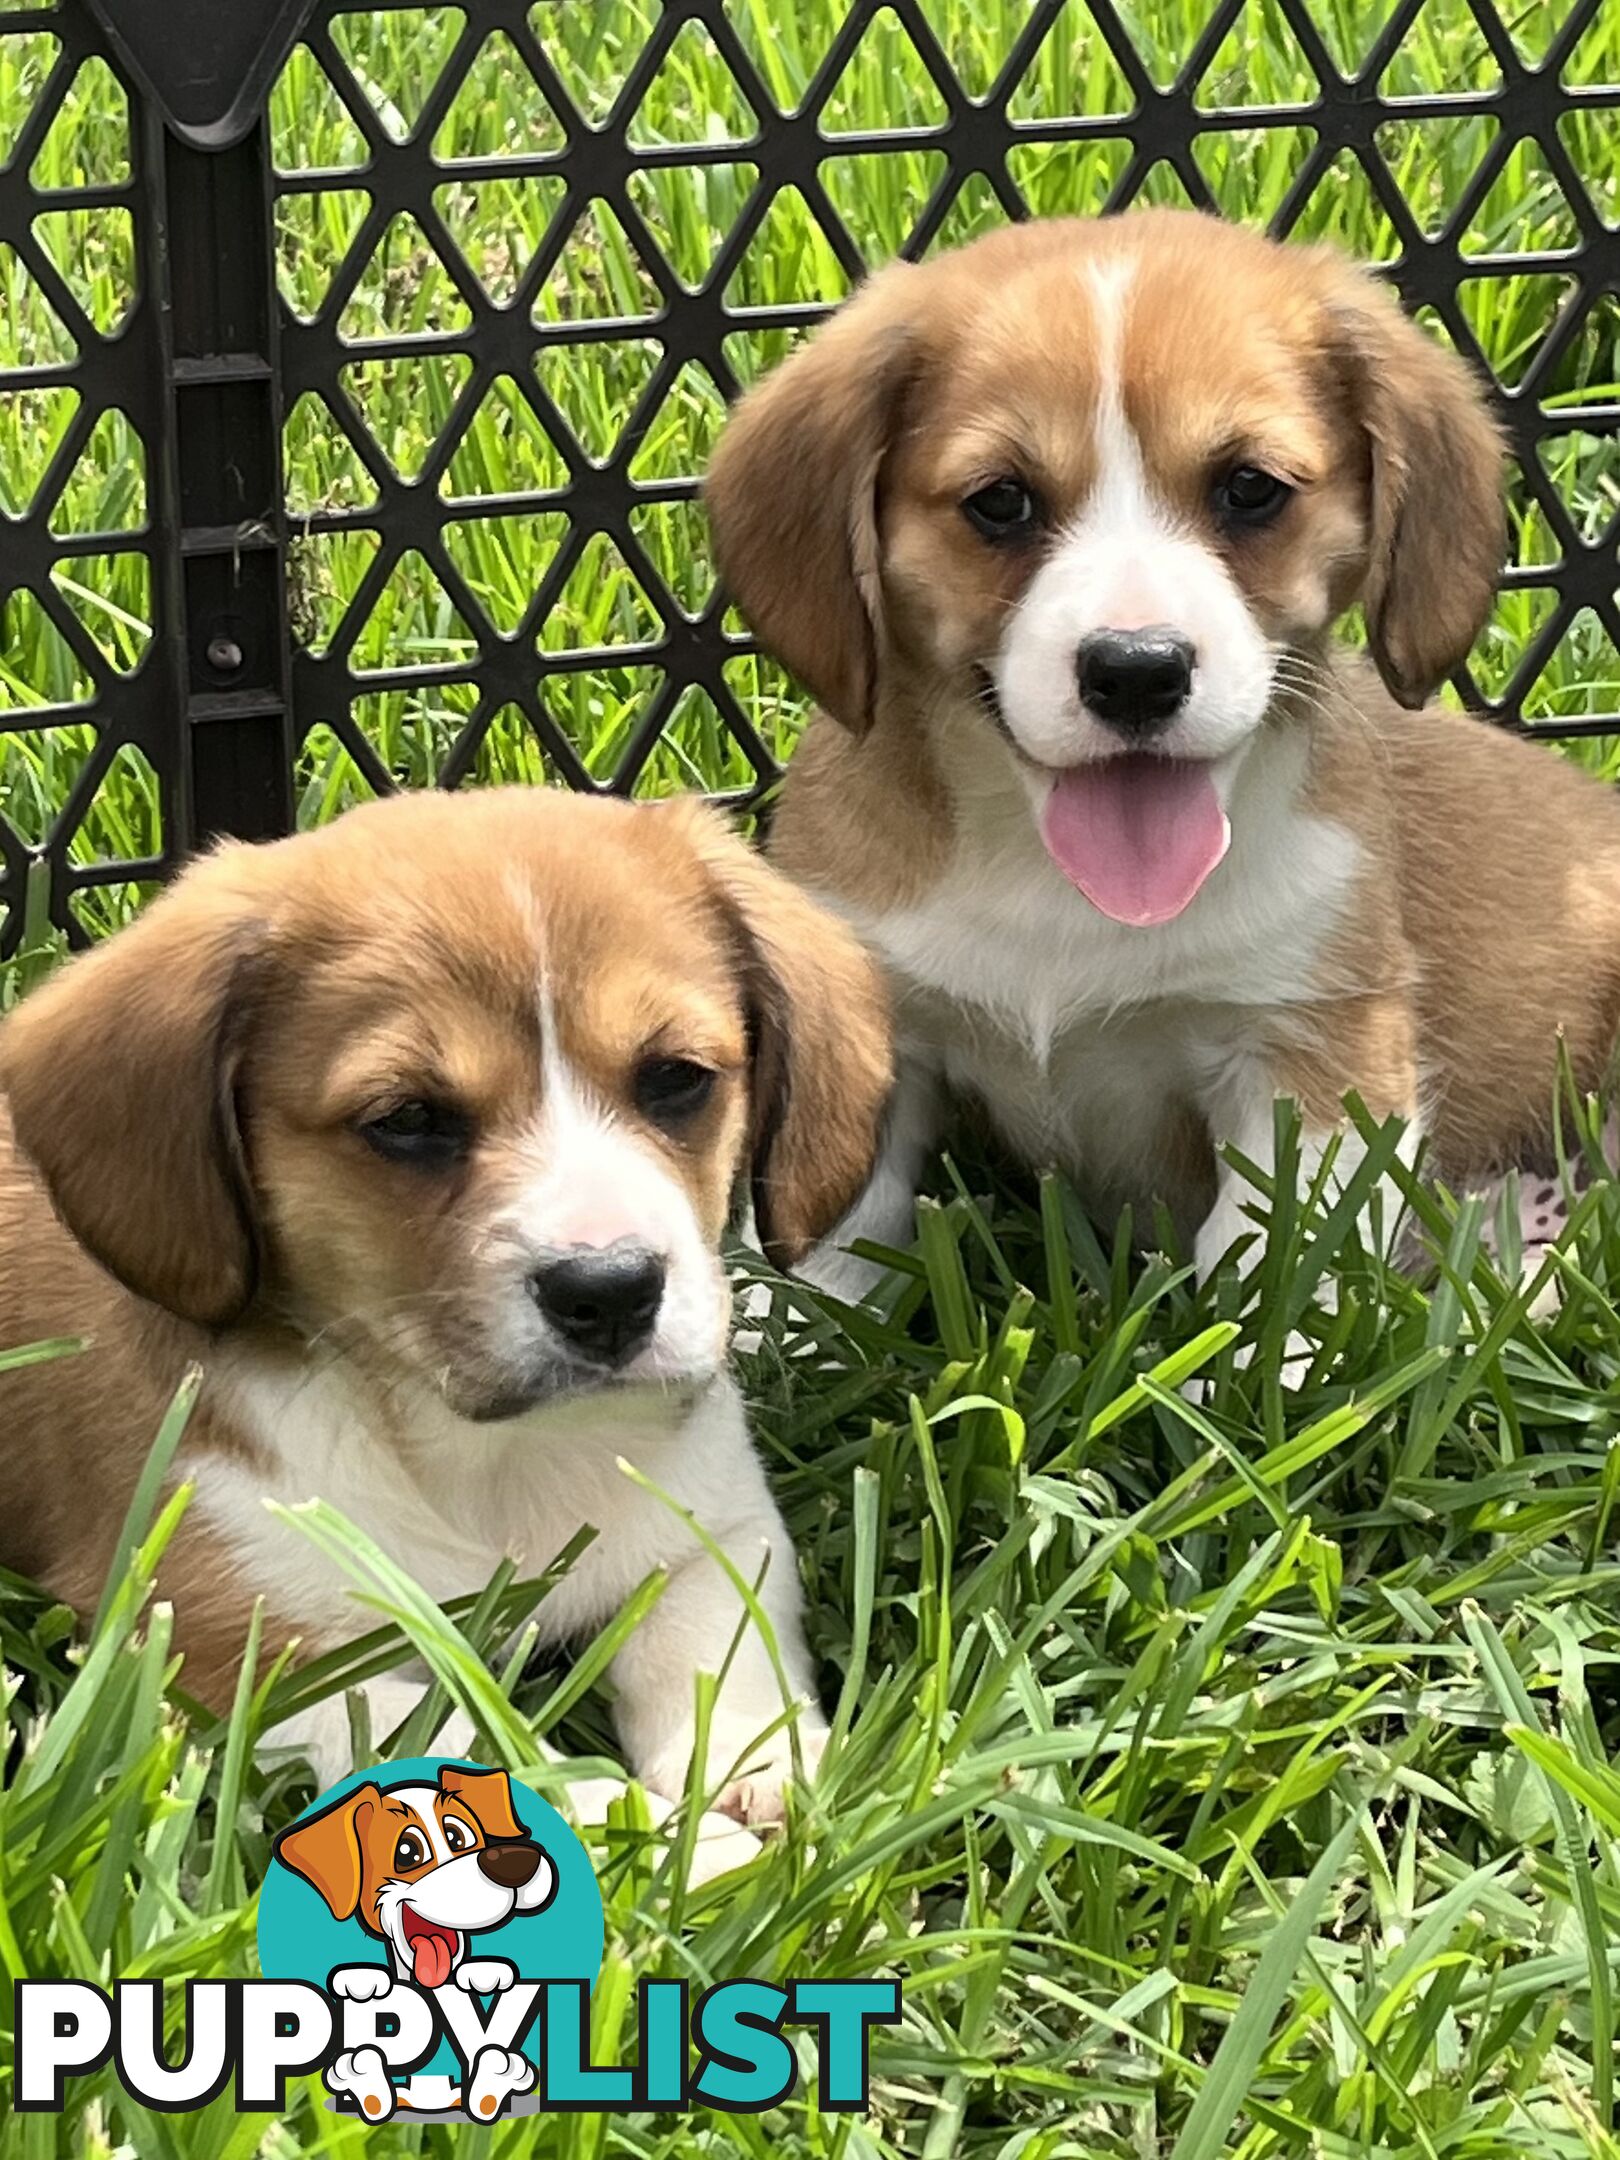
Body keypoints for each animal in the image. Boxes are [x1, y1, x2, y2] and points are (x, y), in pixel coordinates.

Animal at [0, 790, 889, 1805]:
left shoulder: (720, 1530)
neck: (488, 1459)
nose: (611, 1292)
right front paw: (673, 1838)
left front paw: (762, 1771)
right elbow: (486, 1755)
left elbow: (717, 1656)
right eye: (409, 1119)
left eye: (676, 1077)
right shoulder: (254, 1651)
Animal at [708, 210, 1620, 1321]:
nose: (1137, 671)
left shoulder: (1312, 1052)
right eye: (1000, 502)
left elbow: (1269, 1274)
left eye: (1250, 488)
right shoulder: (872, 1041)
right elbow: (839, 1246)